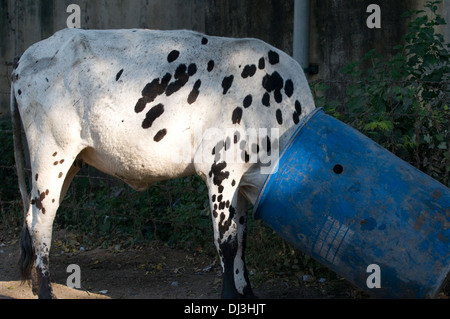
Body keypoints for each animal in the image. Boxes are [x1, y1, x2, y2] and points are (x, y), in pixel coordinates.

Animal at [9, 28, 312, 300]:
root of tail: (24, 58)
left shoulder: (240, 183)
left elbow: (241, 241)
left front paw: (247, 292)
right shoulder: (220, 171)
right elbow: (226, 243)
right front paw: (229, 295)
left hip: (71, 161)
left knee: (34, 216)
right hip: (50, 152)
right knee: (41, 222)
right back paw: (46, 292)